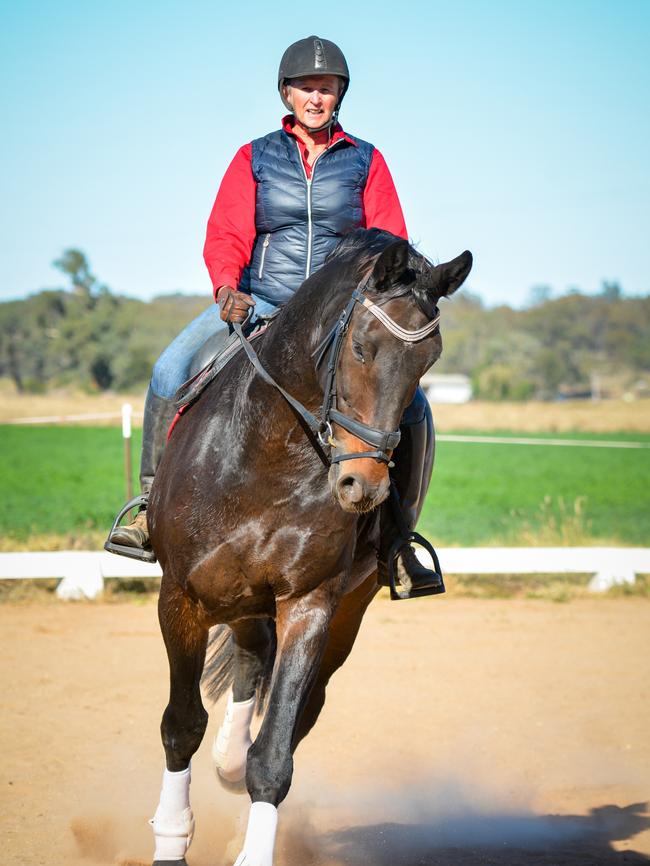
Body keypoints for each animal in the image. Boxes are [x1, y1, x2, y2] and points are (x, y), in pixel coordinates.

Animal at [146, 228, 470, 864]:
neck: (272, 452)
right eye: (363, 348)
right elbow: (181, 724)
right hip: (233, 596)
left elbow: (273, 758)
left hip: (338, 615)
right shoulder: (182, 599)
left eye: (429, 361)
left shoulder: (310, 604)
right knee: (249, 661)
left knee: (296, 705)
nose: (364, 487)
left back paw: (233, 765)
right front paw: (171, 839)